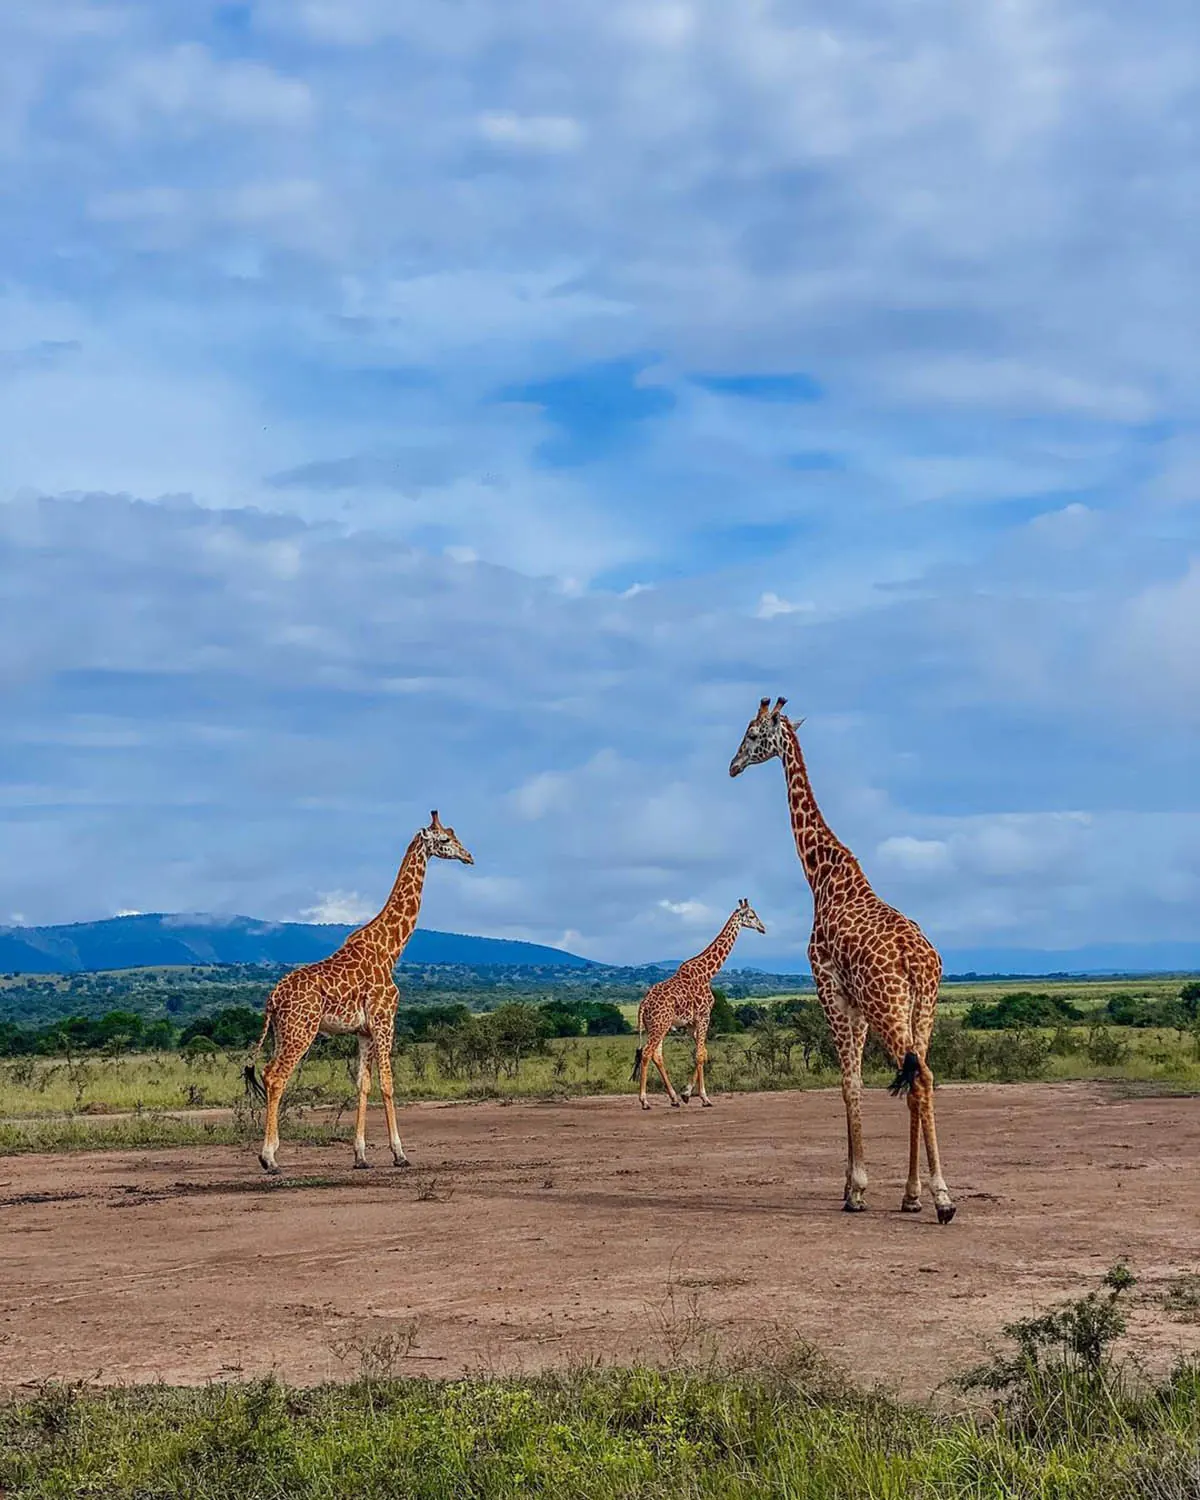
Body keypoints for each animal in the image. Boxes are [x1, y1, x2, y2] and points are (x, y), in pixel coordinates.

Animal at [244, 811, 474, 1175]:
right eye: (445, 840)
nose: (469, 856)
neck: (391, 949)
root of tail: (272, 1000)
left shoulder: (363, 1031)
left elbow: (363, 1085)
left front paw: (361, 1156)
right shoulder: (384, 1019)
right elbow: (388, 1083)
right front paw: (400, 1154)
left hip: (283, 1031)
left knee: (269, 1074)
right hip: (302, 1030)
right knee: (276, 1076)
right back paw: (270, 1158)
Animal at [631, 899, 766, 1109]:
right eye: (752, 916)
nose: (763, 928)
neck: (708, 973)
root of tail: (643, 1004)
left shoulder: (691, 1023)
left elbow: (702, 1052)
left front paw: (686, 1094)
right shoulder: (704, 1016)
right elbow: (701, 1054)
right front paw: (704, 1097)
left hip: (657, 1026)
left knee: (657, 1055)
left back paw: (673, 1098)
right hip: (659, 1025)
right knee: (646, 1053)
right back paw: (644, 1101)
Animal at [729, 698, 956, 1224]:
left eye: (751, 735)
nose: (731, 766)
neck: (824, 876)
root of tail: (918, 963)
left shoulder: (828, 988)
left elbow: (849, 1084)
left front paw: (855, 1190)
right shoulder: (856, 1004)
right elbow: (862, 1082)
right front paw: (884, 1190)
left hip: (890, 1007)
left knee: (918, 1081)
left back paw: (943, 1198)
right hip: (922, 1009)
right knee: (925, 1077)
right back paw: (916, 1194)